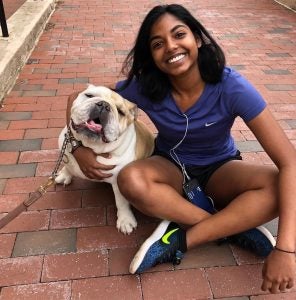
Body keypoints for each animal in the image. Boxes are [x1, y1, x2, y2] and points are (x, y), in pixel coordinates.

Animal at [54, 84, 155, 234]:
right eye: (89, 95)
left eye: (121, 112)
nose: (104, 105)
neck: (91, 147)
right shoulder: (65, 148)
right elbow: (67, 164)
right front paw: (65, 174)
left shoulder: (119, 182)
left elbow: (122, 203)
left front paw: (125, 220)